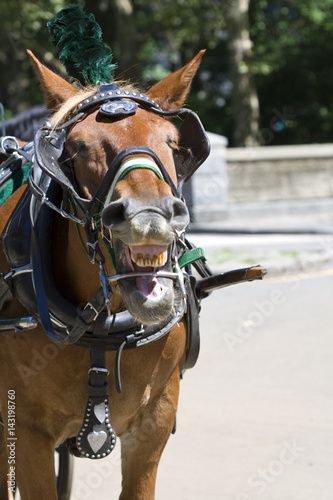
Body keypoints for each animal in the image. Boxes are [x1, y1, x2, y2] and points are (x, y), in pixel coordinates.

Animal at [0, 47, 208, 500]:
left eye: (172, 141)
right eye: (78, 147)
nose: (149, 216)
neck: (100, 325)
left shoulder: (155, 421)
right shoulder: (25, 432)